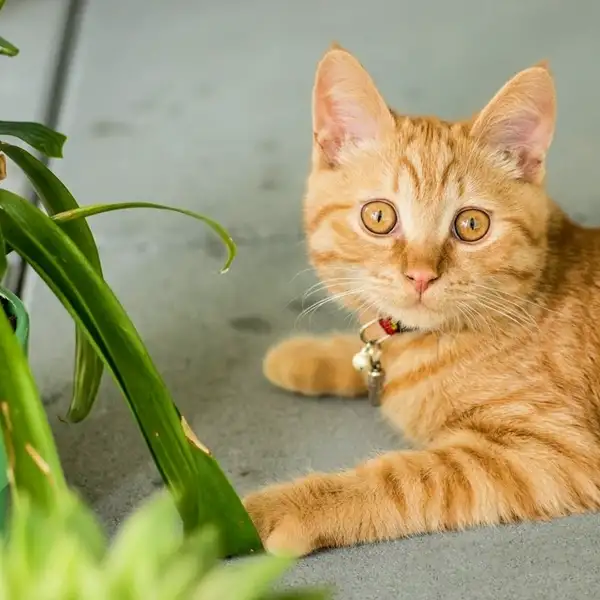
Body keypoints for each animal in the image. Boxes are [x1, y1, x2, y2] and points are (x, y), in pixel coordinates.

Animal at [244, 43, 600, 556]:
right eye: (378, 217)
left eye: (471, 225)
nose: (421, 275)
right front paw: (303, 356)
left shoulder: (554, 453)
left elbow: (404, 479)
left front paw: (269, 511)